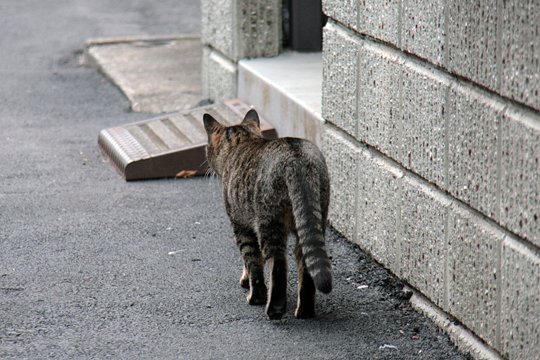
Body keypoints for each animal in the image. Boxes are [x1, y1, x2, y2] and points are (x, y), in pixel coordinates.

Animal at [202, 108, 332, 320]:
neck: (242, 142)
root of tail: (295, 157)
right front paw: (245, 279)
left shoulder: (241, 225)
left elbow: (252, 261)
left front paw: (255, 294)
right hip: (314, 218)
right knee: (304, 261)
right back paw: (304, 310)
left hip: (268, 221)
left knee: (277, 263)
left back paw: (274, 308)